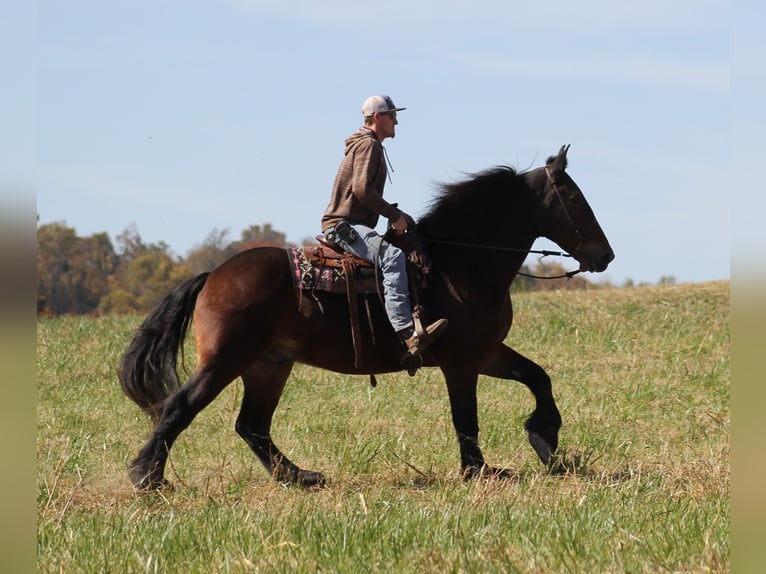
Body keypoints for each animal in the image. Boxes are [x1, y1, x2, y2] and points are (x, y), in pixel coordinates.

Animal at [120, 145, 616, 490]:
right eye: (574, 197)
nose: (605, 255)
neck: (462, 262)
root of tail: (213, 276)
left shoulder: (486, 352)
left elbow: (538, 377)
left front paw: (544, 438)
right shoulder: (460, 362)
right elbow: (466, 418)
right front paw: (480, 471)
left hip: (268, 365)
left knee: (252, 426)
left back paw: (299, 477)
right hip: (225, 360)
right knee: (180, 408)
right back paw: (147, 477)